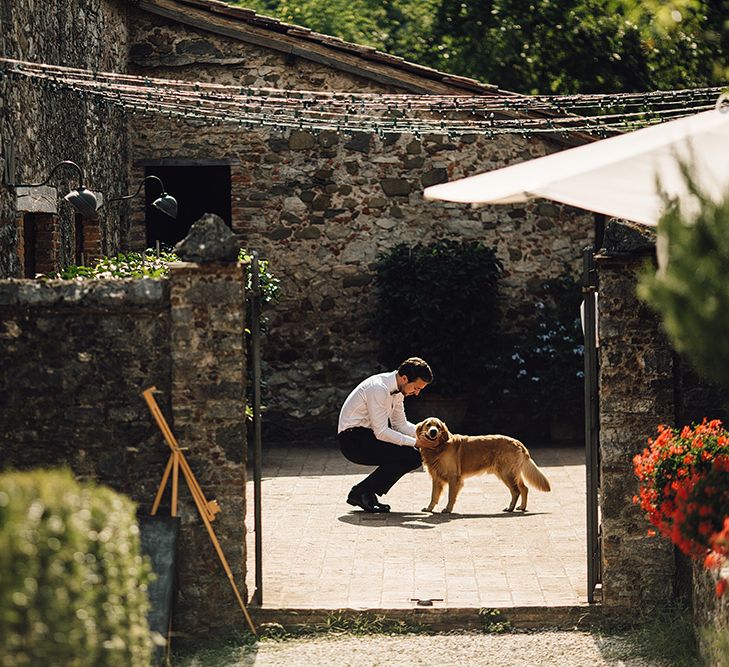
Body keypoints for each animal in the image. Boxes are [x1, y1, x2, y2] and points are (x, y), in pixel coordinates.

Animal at [416, 418, 552, 516]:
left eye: (438, 426)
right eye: (428, 425)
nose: (433, 431)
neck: (439, 447)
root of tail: (518, 442)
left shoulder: (453, 477)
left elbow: (451, 496)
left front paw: (447, 509)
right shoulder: (436, 478)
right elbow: (433, 496)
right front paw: (429, 508)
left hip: (506, 473)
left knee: (516, 491)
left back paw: (510, 508)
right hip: (512, 473)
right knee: (524, 488)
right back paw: (522, 507)